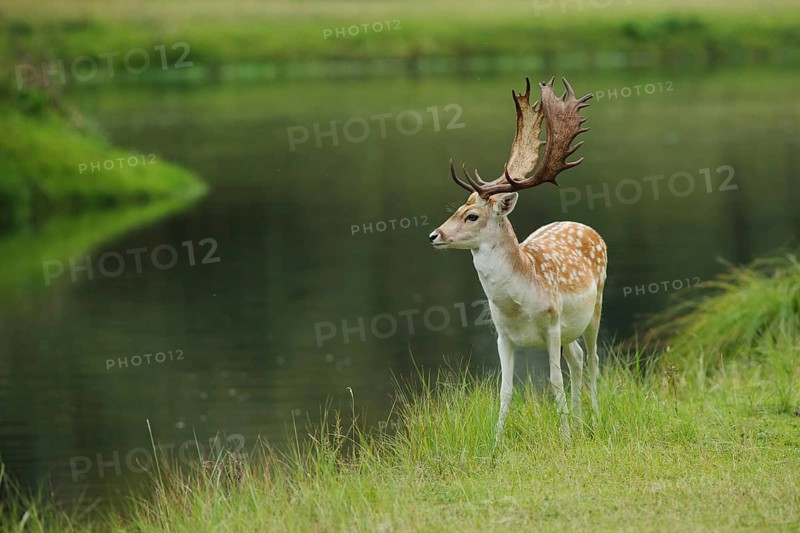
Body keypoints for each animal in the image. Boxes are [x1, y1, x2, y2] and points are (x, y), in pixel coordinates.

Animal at [428, 77, 606, 439]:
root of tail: (587, 227)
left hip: (595, 306)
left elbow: (554, 382)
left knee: (593, 360)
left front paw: (565, 438)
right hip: (570, 330)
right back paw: (580, 421)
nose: (434, 235)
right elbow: (505, 389)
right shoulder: (502, 335)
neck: (518, 303)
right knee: (578, 356)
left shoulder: (552, 324)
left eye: (471, 216)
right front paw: (496, 442)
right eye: (458, 208)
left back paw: (593, 421)